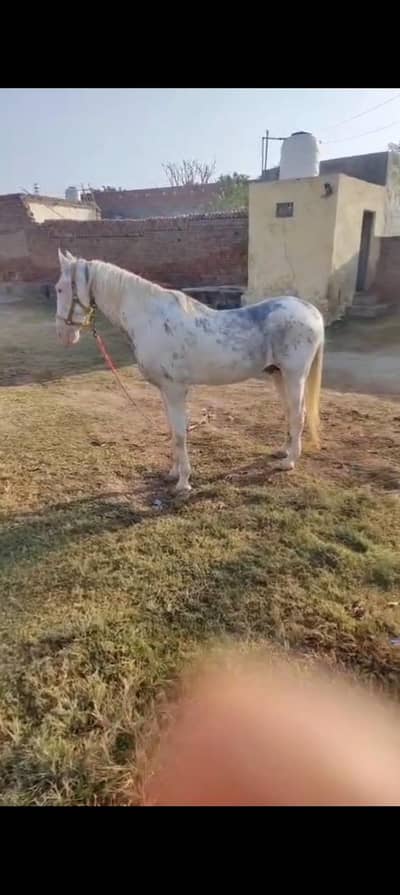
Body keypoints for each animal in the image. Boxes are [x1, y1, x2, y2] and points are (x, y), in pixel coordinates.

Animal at [55, 250, 324, 494]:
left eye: (59, 289)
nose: (64, 335)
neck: (149, 319)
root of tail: (310, 311)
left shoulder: (175, 389)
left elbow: (179, 435)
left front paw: (183, 483)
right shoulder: (165, 391)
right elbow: (174, 432)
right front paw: (173, 473)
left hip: (294, 376)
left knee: (298, 414)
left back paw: (289, 462)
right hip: (278, 374)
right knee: (290, 412)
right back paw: (283, 451)